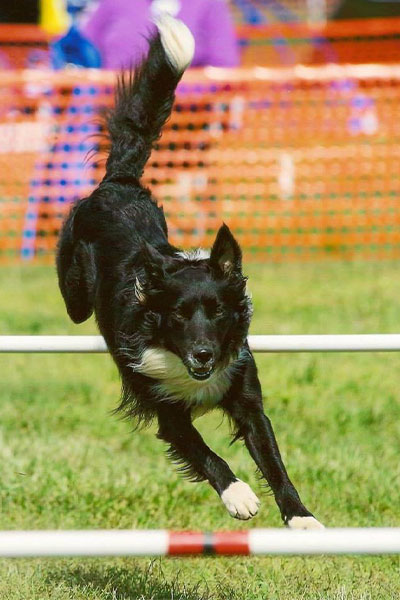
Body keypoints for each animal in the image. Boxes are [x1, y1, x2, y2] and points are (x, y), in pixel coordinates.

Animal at [56, 15, 324, 528]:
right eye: (179, 315)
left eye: (218, 312)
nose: (203, 354)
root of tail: (119, 183)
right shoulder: (166, 410)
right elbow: (205, 452)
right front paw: (239, 495)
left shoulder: (245, 393)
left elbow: (272, 457)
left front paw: (300, 516)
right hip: (75, 289)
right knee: (74, 304)